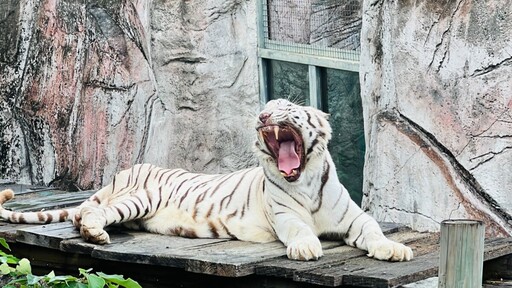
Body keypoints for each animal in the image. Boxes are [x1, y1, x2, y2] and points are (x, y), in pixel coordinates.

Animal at [0, 98, 412, 260]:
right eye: (266, 109)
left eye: (287, 108)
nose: (263, 116)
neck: (304, 182)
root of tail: (121, 173)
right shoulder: (286, 217)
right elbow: (300, 230)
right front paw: (307, 248)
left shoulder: (353, 217)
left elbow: (373, 229)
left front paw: (394, 249)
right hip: (137, 197)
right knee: (87, 215)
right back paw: (95, 234)